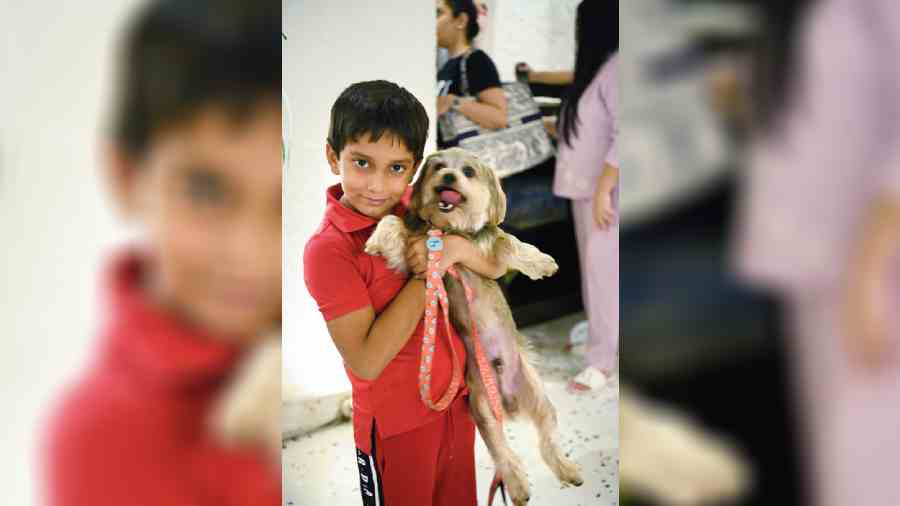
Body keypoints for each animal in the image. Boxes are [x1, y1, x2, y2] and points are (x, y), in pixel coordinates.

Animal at [366, 148, 584, 504]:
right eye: (439, 167)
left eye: (467, 171)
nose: (448, 177)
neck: (449, 231)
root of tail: (507, 401)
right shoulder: (412, 260)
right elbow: (391, 221)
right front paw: (375, 239)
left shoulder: (487, 247)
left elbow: (507, 241)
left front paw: (540, 262)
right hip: (481, 409)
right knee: (502, 452)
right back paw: (518, 486)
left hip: (540, 399)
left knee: (547, 438)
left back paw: (566, 470)